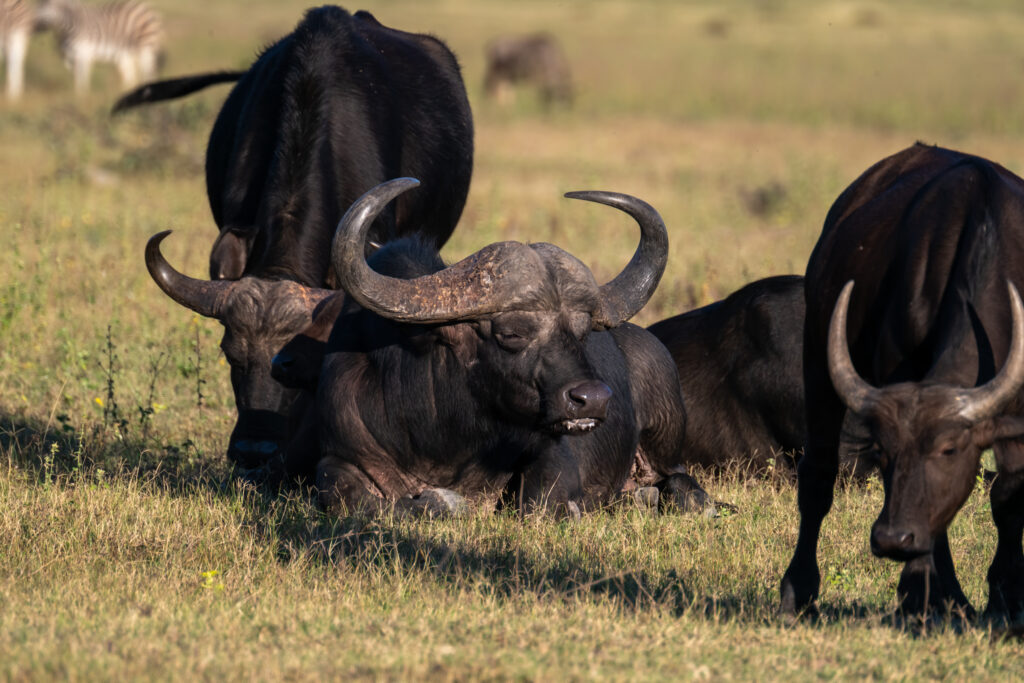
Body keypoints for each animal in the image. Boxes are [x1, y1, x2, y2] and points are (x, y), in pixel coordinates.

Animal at [299, 179, 708, 516]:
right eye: (511, 333)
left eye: (582, 332)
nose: (592, 399)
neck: (439, 436)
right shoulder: (337, 456)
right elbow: (353, 498)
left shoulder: (553, 451)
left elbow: (539, 505)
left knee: (680, 479)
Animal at [774, 141, 1024, 622]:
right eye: (883, 451)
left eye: (949, 449)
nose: (892, 540)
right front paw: (918, 593)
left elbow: (1008, 492)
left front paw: (1005, 598)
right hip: (818, 350)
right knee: (817, 475)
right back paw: (800, 591)